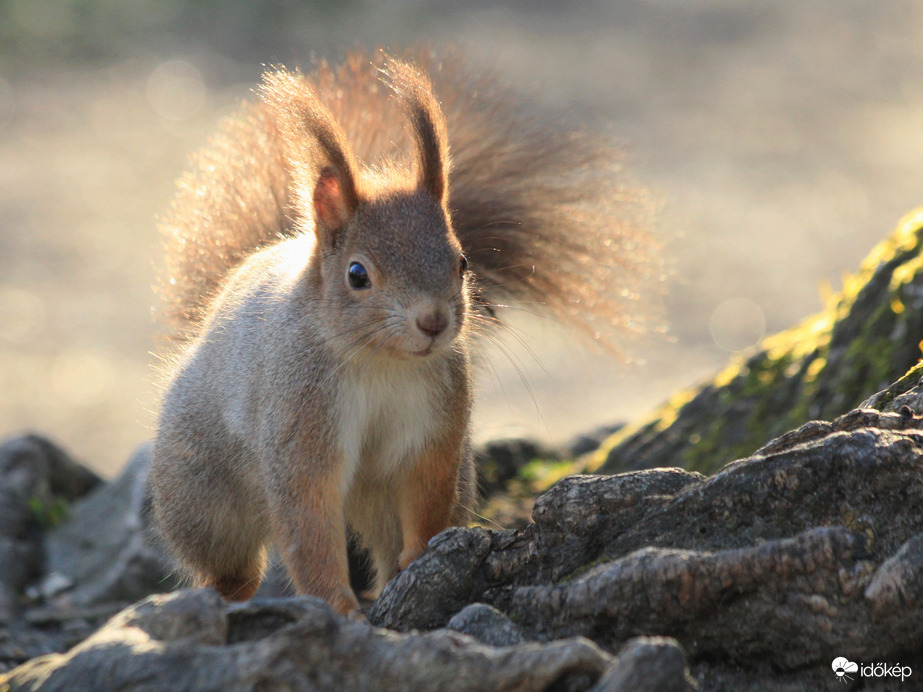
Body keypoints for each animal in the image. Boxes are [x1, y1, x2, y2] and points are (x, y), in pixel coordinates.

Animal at [148, 47, 652, 616]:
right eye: (357, 274)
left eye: (461, 261)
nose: (433, 322)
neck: (381, 361)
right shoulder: (301, 423)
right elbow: (308, 524)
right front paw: (339, 608)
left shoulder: (433, 426)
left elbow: (425, 497)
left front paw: (418, 561)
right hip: (202, 497)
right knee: (232, 567)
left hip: (405, 491)